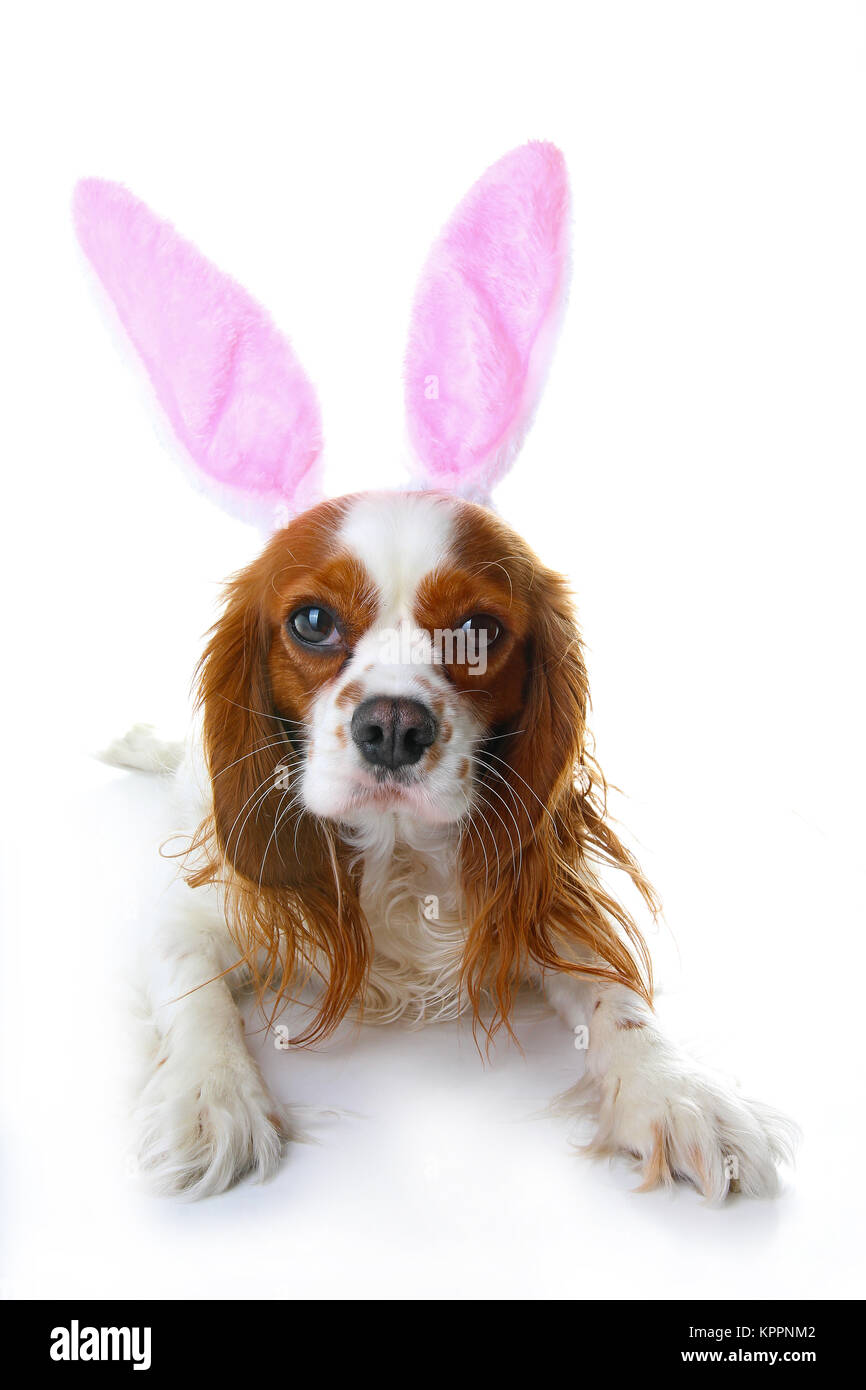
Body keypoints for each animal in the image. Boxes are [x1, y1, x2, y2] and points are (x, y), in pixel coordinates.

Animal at [77, 146, 795, 1200]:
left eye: (480, 631)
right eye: (313, 621)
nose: (392, 726)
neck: (398, 857)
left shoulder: (541, 898)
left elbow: (617, 995)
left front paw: (679, 1092)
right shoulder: (193, 914)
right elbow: (193, 987)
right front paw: (210, 1102)